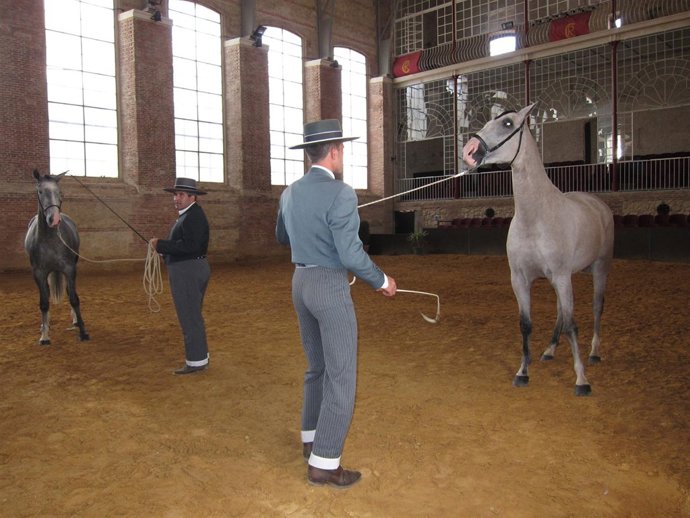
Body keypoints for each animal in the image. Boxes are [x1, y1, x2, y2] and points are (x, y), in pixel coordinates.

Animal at [24, 170, 90, 345]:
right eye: (40, 191)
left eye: (59, 192)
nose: (54, 219)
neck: (50, 240)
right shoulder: (39, 273)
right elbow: (44, 303)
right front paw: (44, 336)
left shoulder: (69, 269)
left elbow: (74, 298)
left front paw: (83, 332)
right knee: (46, 294)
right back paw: (44, 326)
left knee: (69, 292)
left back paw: (76, 321)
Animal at [462, 103, 614, 396]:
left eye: (508, 124)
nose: (469, 150)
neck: (535, 217)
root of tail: (597, 204)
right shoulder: (520, 279)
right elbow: (526, 324)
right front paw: (523, 372)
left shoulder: (562, 276)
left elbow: (572, 325)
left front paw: (581, 380)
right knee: (560, 312)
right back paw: (550, 350)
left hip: (600, 268)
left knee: (597, 307)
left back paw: (594, 353)